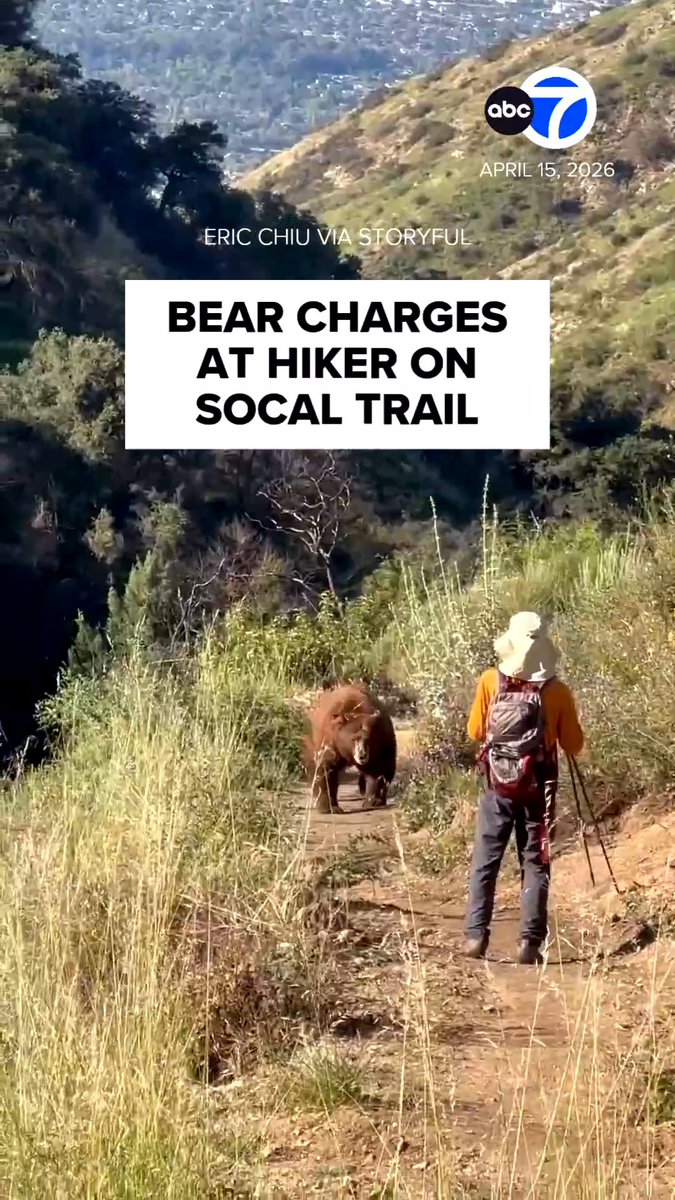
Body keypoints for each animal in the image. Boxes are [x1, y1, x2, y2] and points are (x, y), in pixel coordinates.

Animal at [303, 684, 397, 815]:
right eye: (353, 739)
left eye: (368, 739)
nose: (362, 755)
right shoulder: (328, 742)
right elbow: (324, 770)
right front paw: (330, 807)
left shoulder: (381, 742)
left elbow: (379, 769)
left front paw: (373, 800)